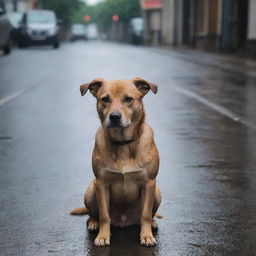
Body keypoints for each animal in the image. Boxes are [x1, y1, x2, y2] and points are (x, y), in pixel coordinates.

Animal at [71, 77, 161, 246]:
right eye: (105, 99)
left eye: (128, 99)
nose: (114, 117)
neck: (123, 144)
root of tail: (124, 220)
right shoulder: (101, 183)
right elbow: (104, 215)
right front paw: (102, 236)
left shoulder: (149, 182)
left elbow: (145, 214)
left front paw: (146, 235)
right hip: (91, 190)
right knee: (93, 215)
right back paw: (94, 223)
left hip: (157, 192)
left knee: (148, 215)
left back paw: (152, 223)